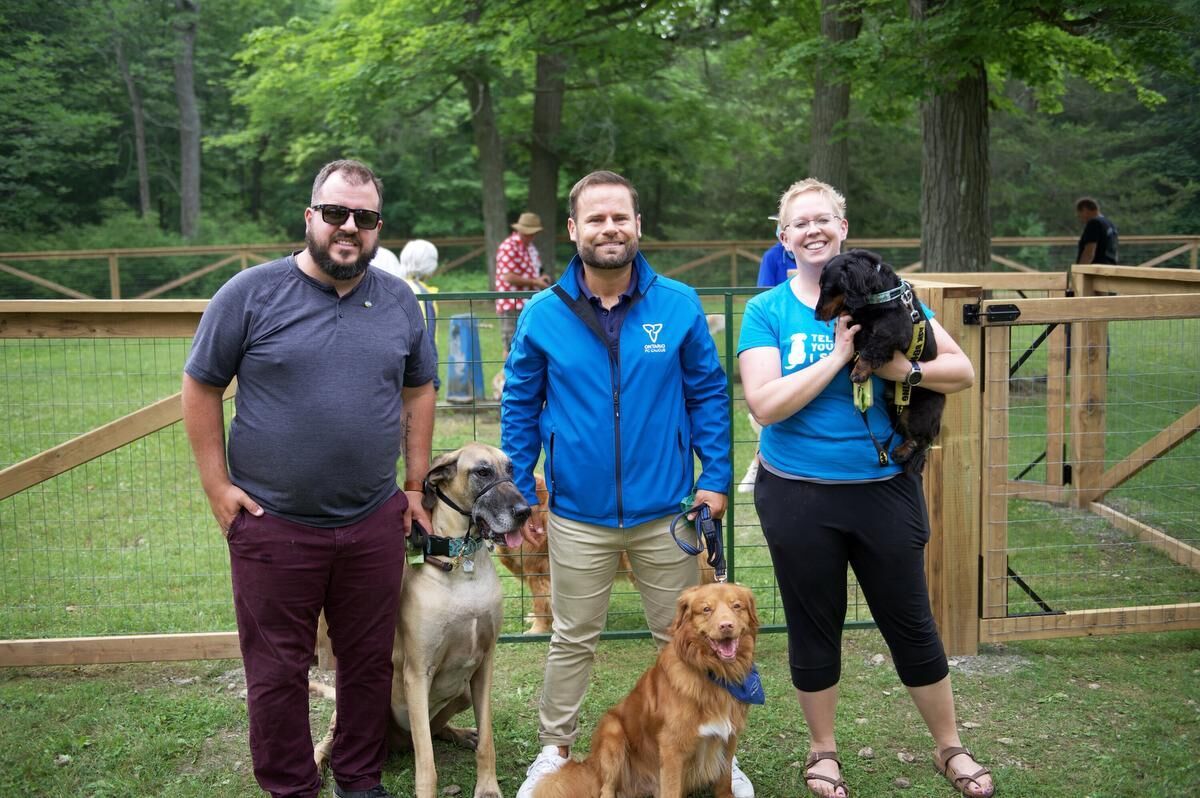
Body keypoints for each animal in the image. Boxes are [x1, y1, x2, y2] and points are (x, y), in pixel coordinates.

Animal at [314, 441, 530, 796]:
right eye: (482, 472)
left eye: (510, 469)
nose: (525, 512)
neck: (463, 565)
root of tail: (398, 744)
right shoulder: (417, 673)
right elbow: (427, 764)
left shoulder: (484, 664)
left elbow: (488, 741)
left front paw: (487, 786)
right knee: (330, 740)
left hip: (463, 692)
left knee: (435, 729)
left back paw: (459, 733)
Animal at [535, 578, 758, 796]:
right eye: (706, 609)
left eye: (737, 606)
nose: (726, 625)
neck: (713, 672)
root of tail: (591, 763)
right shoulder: (672, 748)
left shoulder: (729, 737)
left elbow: (724, 781)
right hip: (612, 733)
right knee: (606, 789)